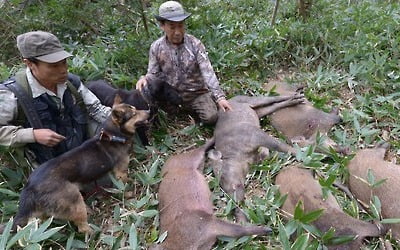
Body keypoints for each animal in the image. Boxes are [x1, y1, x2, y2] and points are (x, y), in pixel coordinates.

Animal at [10, 96, 150, 234]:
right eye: (133, 114)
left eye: (136, 109)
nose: (149, 111)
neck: (113, 135)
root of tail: (30, 186)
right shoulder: (121, 171)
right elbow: (124, 186)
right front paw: (130, 194)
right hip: (75, 200)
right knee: (82, 227)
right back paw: (93, 233)